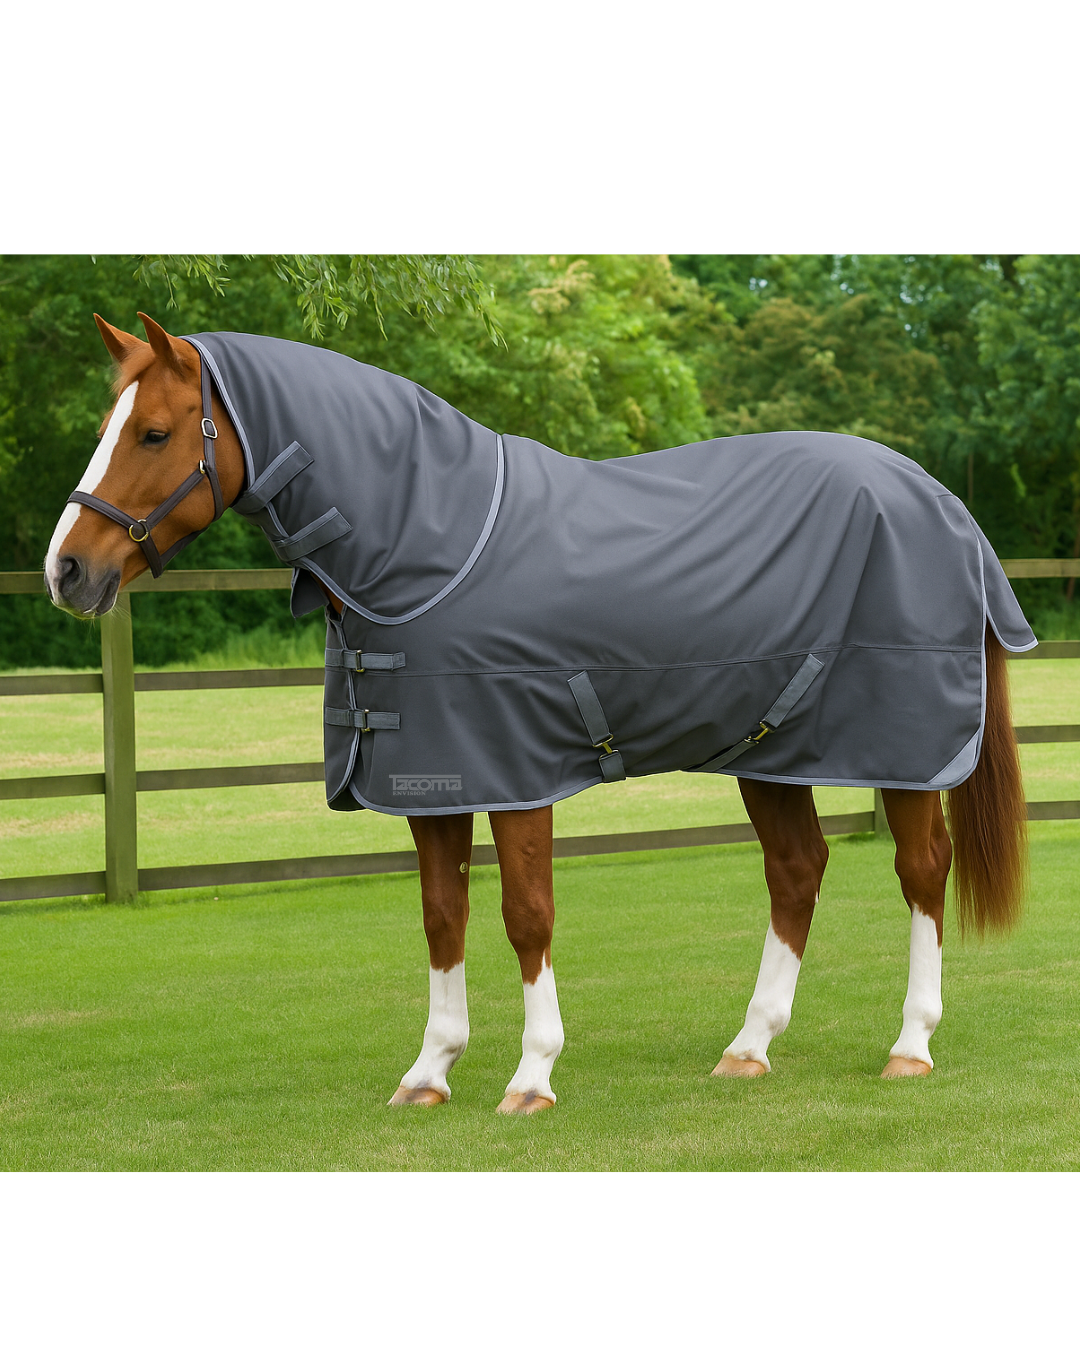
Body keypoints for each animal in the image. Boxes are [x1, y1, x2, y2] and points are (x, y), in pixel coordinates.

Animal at [44, 312, 1031, 1114]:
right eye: (104, 431)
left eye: (155, 432)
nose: (67, 571)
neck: (432, 543)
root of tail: (945, 505)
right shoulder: (434, 776)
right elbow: (442, 915)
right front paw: (429, 1072)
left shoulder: (515, 771)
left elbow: (526, 914)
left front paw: (532, 1076)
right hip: (771, 750)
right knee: (796, 871)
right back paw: (748, 1048)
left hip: (903, 752)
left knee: (922, 872)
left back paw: (910, 1045)